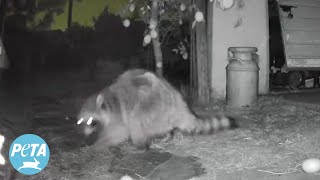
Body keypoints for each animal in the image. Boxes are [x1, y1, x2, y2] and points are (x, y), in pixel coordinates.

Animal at [77, 69, 238, 150]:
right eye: (81, 122)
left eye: (91, 121)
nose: (84, 135)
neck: (107, 101)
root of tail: (179, 105)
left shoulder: (118, 115)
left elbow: (119, 132)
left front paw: (98, 144)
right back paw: (168, 134)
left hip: (152, 106)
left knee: (136, 121)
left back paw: (140, 144)